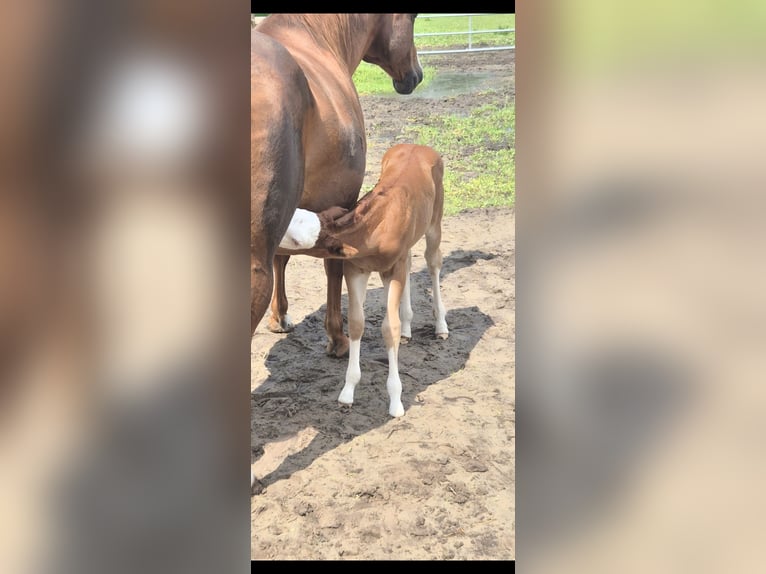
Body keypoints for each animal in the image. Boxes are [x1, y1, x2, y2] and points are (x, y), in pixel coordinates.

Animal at [250, 14, 423, 358]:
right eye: (412, 18)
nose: (417, 74)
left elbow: (282, 258)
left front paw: (280, 317)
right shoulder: (341, 199)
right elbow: (334, 266)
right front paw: (338, 338)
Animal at [278, 144, 449, 417]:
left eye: (295, 236)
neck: (375, 229)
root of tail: (419, 146)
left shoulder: (392, 270)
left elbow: (389, 328)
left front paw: (396, 401)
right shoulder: (356, 269)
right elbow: (357, 323)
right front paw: (347, 392)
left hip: (434, 223)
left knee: (433, 262)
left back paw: (441, 326)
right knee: (410, 262)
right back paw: (408, 328)